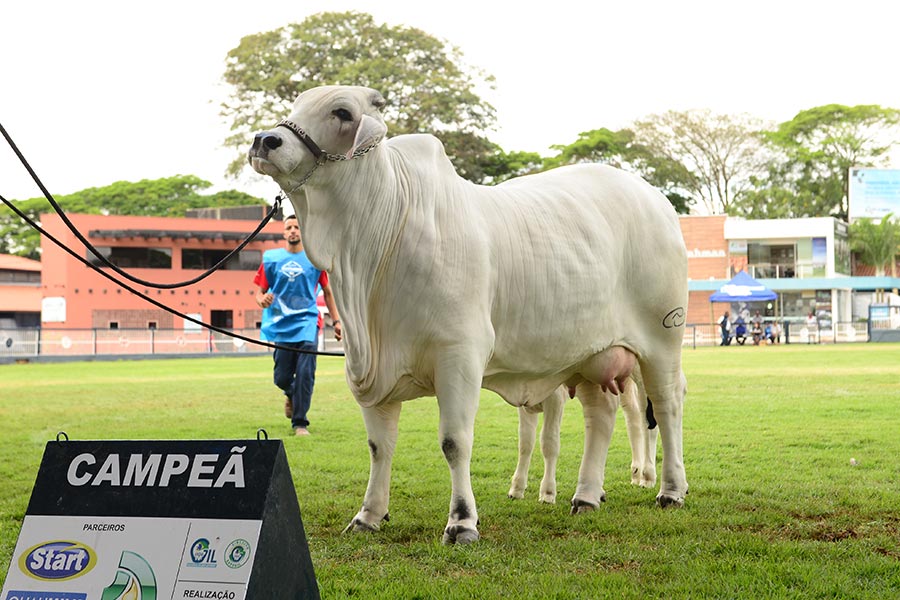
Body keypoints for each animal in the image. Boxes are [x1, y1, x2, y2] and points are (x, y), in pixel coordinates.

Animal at [248, 85, 689, 544]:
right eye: (298, 104)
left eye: (341, 111)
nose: (265, 140)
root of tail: (656, 199)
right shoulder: (368, 368)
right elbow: (379, 446)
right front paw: (369, 514)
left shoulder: (459, 355)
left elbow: (454, 442)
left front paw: (461, 521)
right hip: (589, 355)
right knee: (599, 416)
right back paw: (586, 496)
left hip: (662, 340)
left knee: (667, 406)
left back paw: (670, 490)